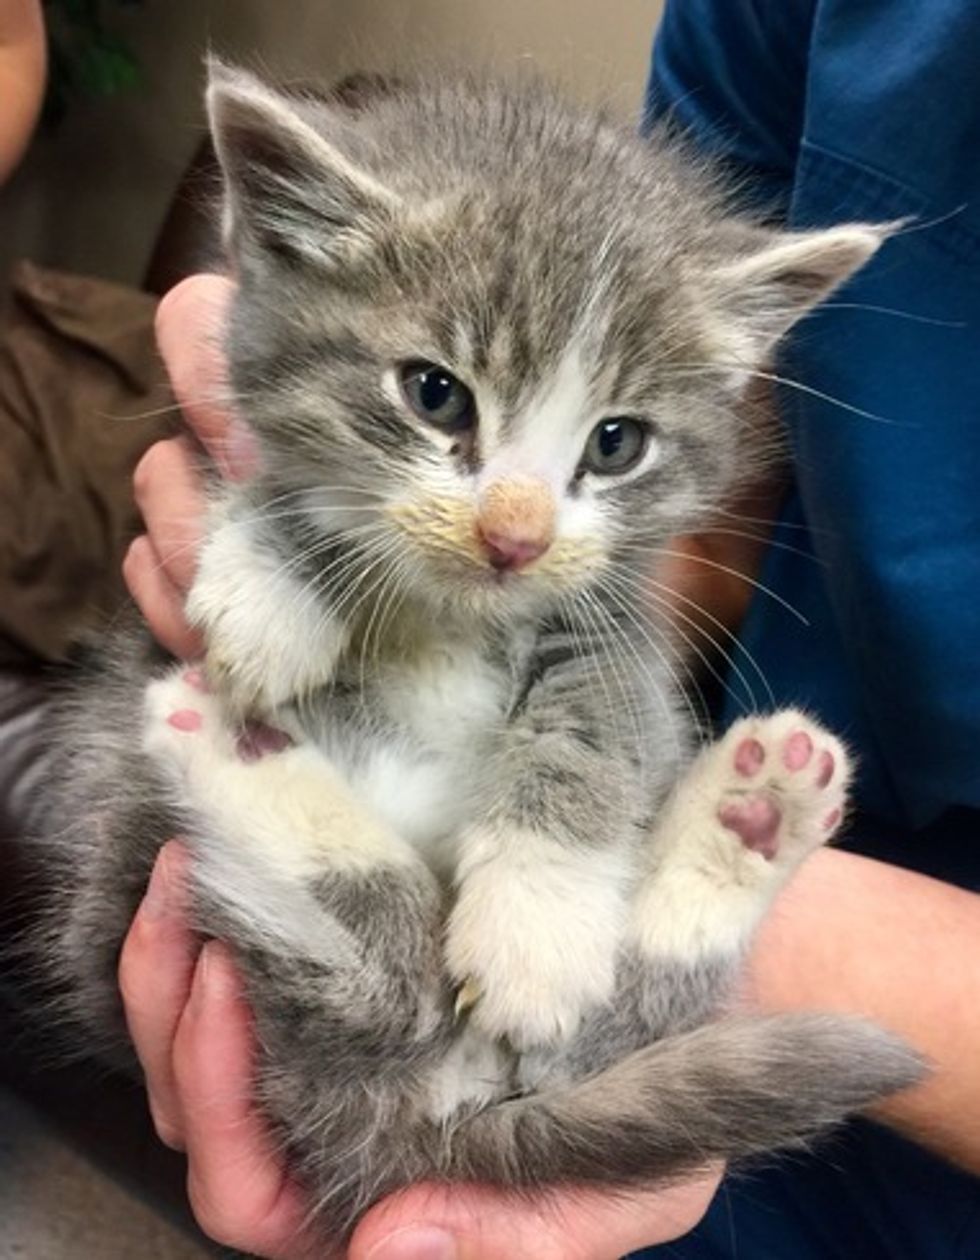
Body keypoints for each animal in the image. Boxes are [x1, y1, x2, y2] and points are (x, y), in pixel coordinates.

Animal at [28, 63, 917, 1244]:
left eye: (616, 443)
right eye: (434, 393)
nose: (515, 535)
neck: (451, 616)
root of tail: (434, 1112)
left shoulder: (622, 616)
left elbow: (597, 720)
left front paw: (535, 926)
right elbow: (268, 492)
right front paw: (273, 579)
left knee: (584, 1013)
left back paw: (751, 812)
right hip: (130, 878)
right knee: (378, 977)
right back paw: (230, 740)